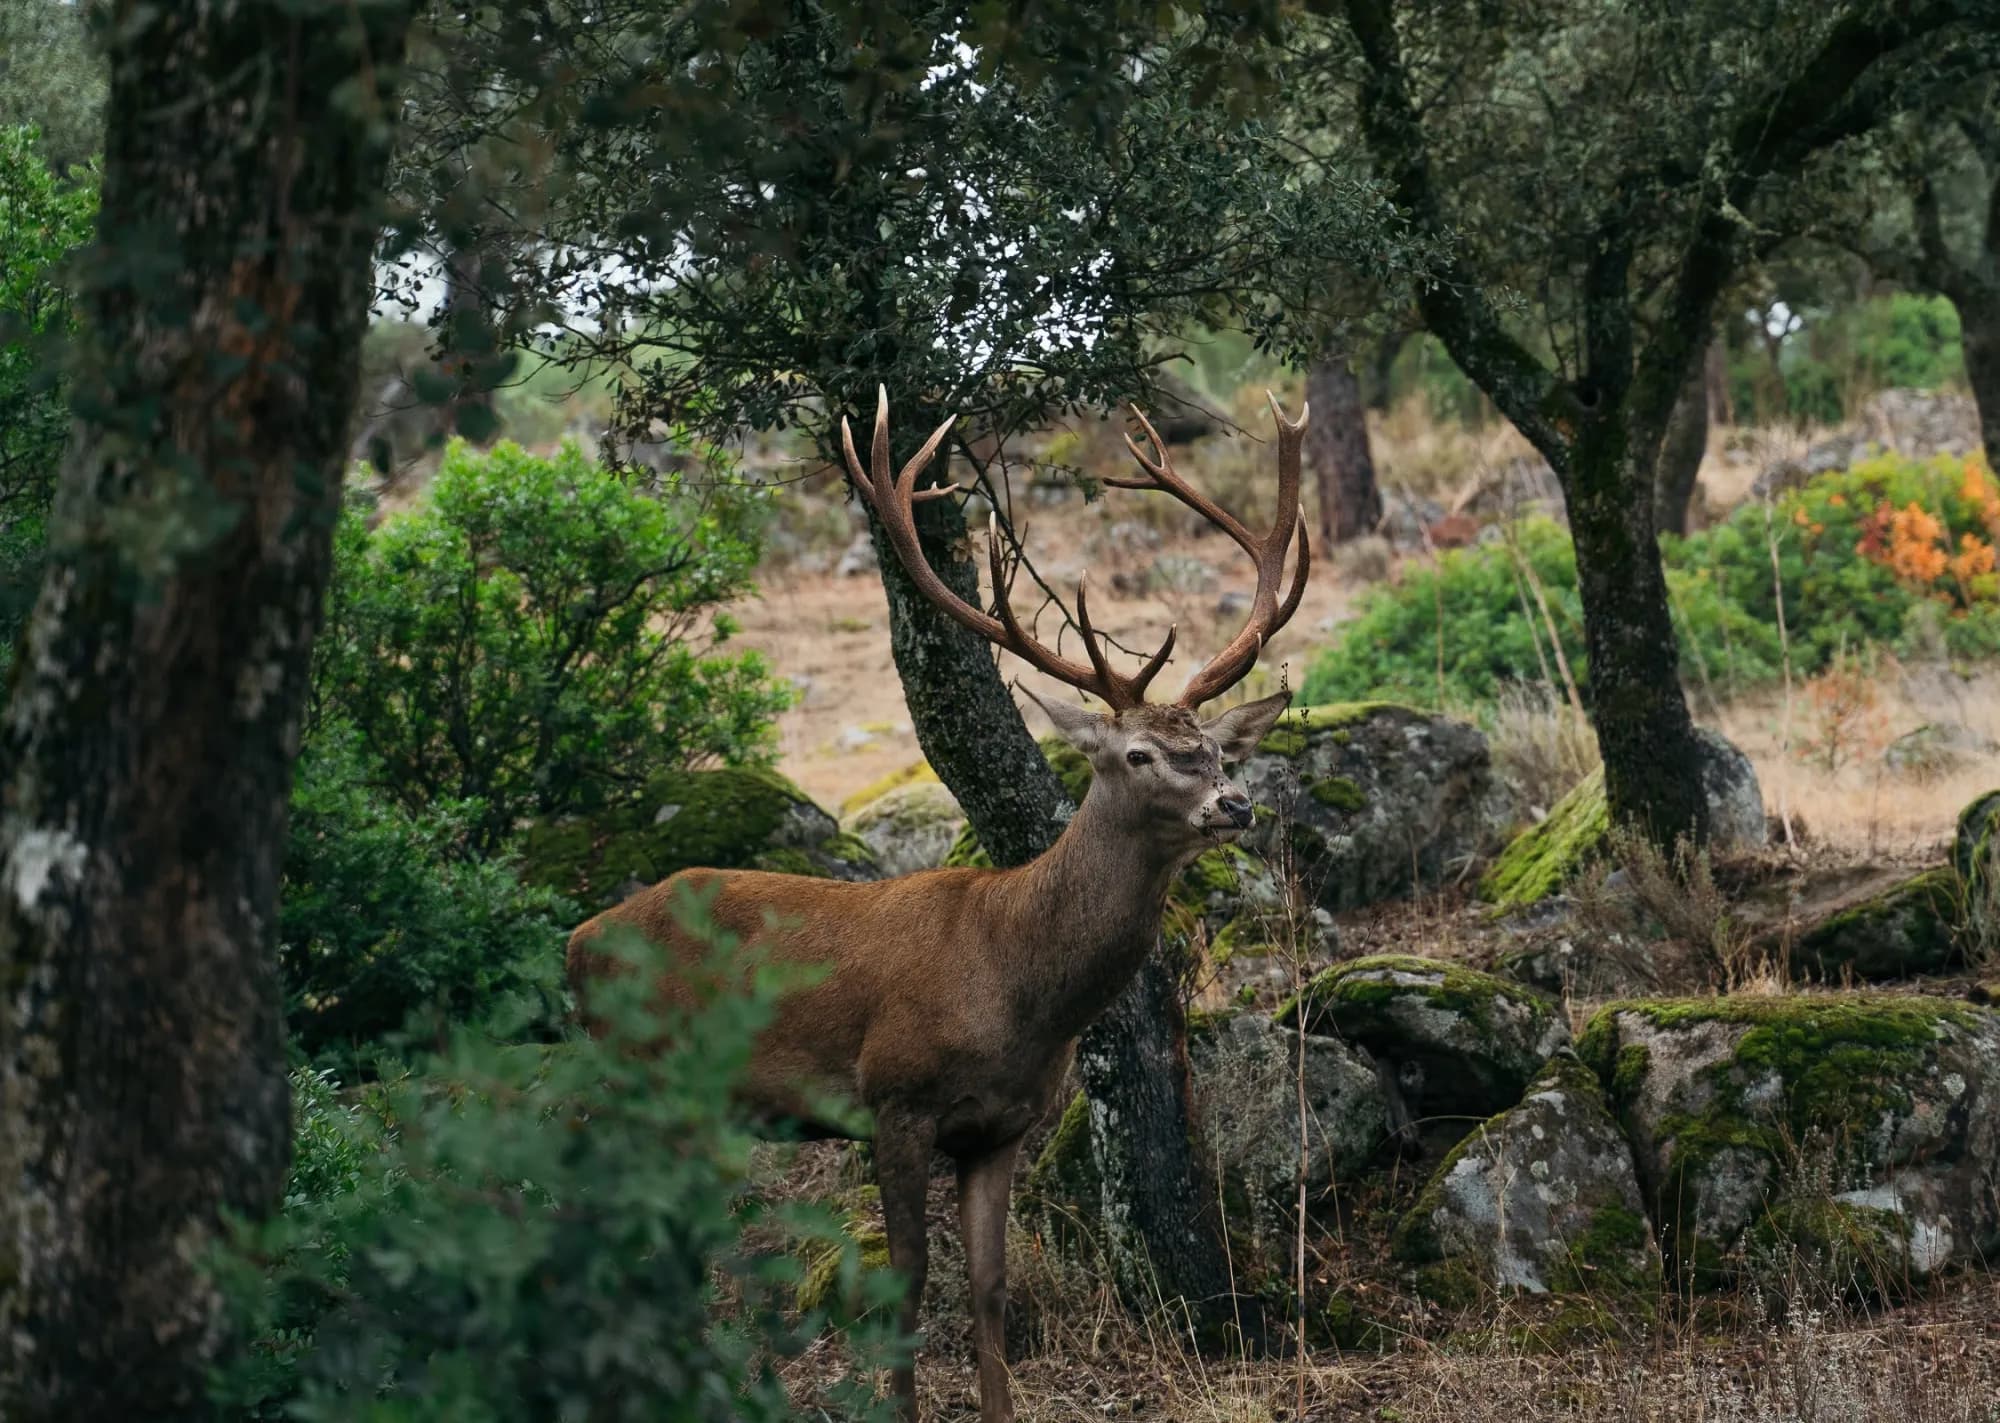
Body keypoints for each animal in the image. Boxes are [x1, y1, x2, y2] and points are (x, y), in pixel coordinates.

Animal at [566, 387, 1310, 1423]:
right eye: (1139, 753)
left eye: (1212, 747)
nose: (1234, 803)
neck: (1016, 982)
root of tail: (575, 939)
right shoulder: (896, 1097)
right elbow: (908, 1282)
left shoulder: (1001, 1126)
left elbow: (990, 1287)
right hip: (642, 1071)